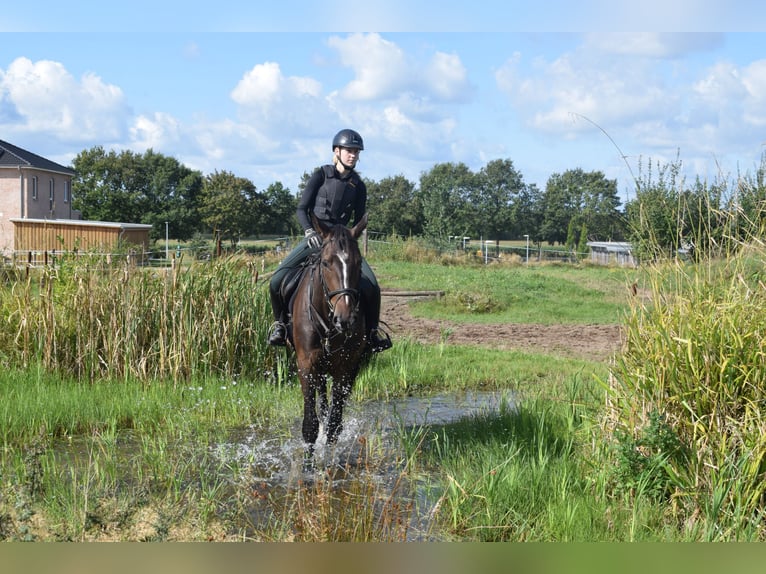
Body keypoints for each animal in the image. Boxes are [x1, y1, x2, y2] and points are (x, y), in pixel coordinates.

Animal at [290, 213, 370, 460]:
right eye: (325, 263)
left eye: (358, 263)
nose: (345, 319)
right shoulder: (306, 364)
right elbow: (310, 425)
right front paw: (309, 466)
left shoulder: (345, 366)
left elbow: (335, 424)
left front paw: (330, 461)